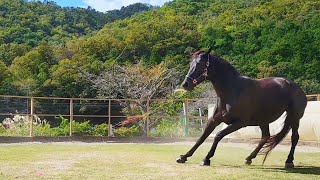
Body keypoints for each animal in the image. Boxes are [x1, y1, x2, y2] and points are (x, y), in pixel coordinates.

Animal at [178, 48, 308, 169]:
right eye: (191, 64)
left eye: (200, 64)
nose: (185, 84)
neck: (232, 91)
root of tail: (297, 88)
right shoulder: (214, 120)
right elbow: (202, 138)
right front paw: (183, 157)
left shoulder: (240, 123)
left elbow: (218, 135)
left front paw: (206, 159)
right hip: (263, 120)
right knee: (265, 137)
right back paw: (249, 158)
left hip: (294, 118)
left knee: (294, 137)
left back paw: (289, 161)